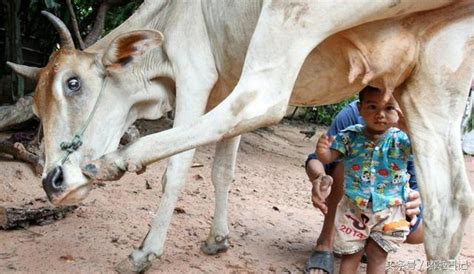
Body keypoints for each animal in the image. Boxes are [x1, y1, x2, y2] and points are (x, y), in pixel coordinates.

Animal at [7, 0, 474, 272]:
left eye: (73, 83)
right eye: (36, 108)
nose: (52, 182)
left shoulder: (195, 74)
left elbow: (179, 169)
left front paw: (146, 251)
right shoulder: (223, 82)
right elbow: (222, 170)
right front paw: (218, 239)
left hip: (294, 15)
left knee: (261, 97)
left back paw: (115, 160)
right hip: (435, 75)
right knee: (449, 208)